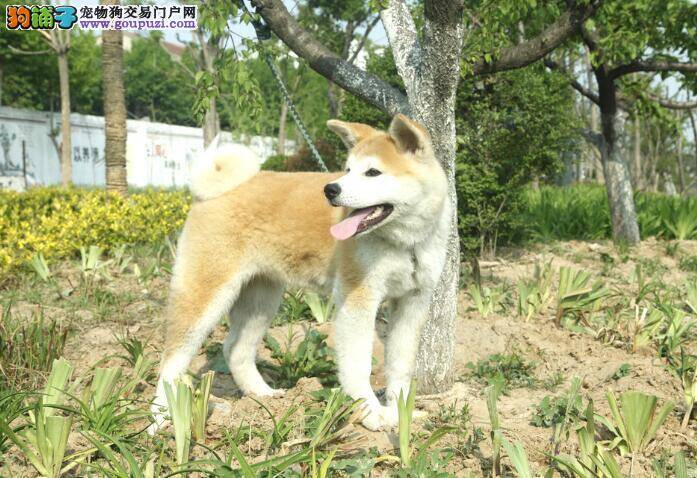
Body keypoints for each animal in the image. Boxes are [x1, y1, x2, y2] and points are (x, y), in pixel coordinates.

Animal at [150, 114, 448, 432]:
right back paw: (160, 419)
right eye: (348, 169)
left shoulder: (413, 302)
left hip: (261, 299)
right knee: (170, 361)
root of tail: (213, 191)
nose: (331, 190)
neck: (406, 245)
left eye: (373, 172)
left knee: (235, 349)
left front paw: (402, 414)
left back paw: (262, 396)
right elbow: (358, 366)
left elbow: (400, 367)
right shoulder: (358, 299)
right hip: (207, 295)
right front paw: (370, 412)